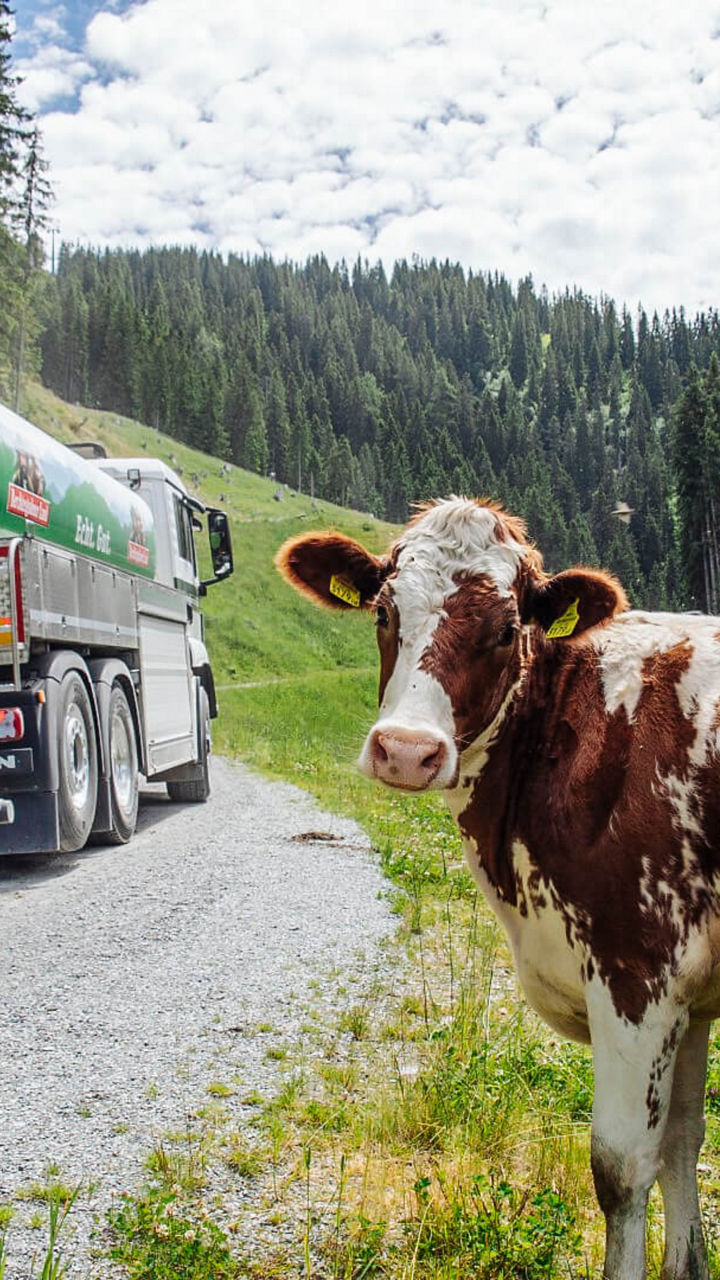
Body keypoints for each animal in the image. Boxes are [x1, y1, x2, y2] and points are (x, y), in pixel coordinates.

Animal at [276, 497, 720, 1280]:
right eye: (384, 610)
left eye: (508, 629)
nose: (407, 751)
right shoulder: (688, 995)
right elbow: (680, 1144)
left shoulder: (635, 967)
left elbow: (621, 1169)